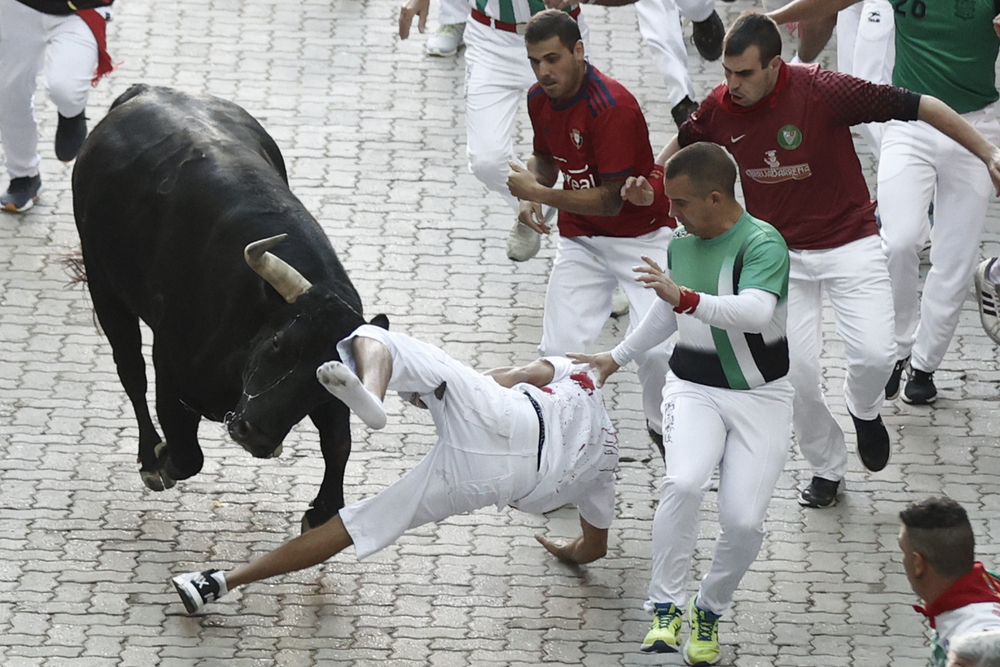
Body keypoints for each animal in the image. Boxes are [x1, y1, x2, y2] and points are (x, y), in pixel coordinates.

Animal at [71, 83, 382, 532]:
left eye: (321, 376)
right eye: (277, 344)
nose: (256, 435)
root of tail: (148, 91)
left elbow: (339, 441)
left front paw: (323, 509)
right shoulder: (171, 367)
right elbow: (186, 454)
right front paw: (163, 459)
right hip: (103, 285)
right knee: (130, 371)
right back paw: (149, 455)